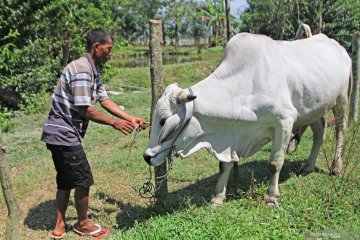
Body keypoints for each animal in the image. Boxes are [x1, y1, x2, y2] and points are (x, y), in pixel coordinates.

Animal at [142, 32, 350, 207]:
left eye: (163, 121)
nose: (147, 157)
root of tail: (337, 45)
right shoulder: (230, 139)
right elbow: (224, 165)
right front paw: (218, 197)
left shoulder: (284, 121)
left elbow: (275, 163)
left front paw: (271, 197)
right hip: (313, 108)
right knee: (319, 133)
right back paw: (308, 166)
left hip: (341, 99)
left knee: (340, 130)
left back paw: (336, 167)